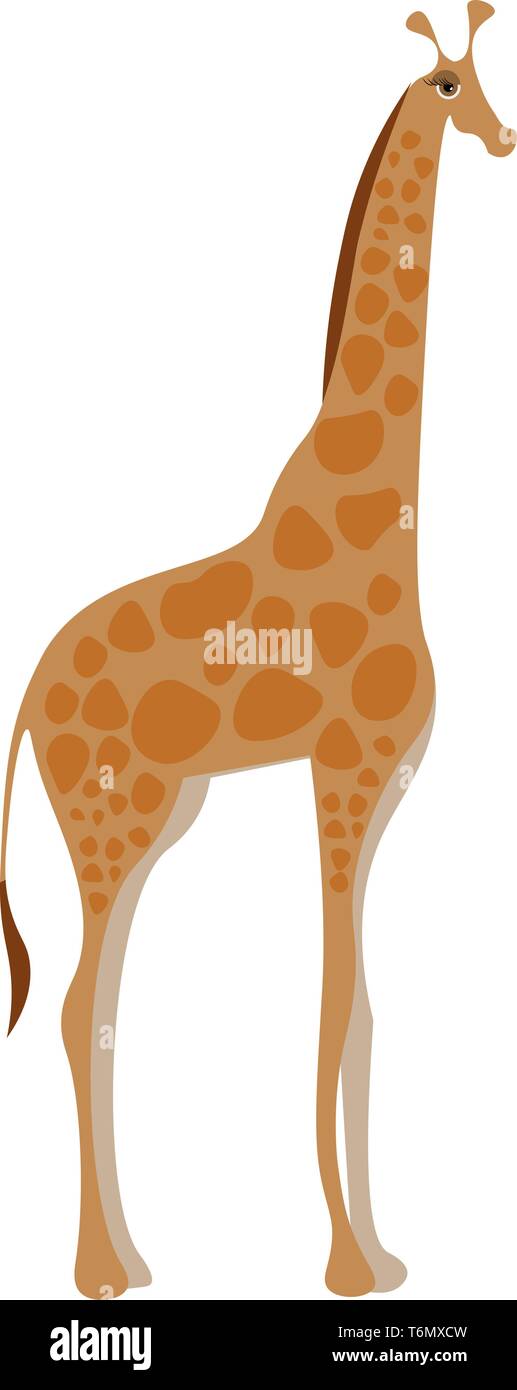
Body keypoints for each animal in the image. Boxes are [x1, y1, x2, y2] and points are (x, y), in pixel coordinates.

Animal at [1, 3, 514, 1301]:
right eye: (450, 82)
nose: (505, 138)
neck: (386, 512)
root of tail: (24, 700)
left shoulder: (379, 780)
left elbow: (364, 1007)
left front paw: (383, 1253)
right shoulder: (344, 767)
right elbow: (338, 1002)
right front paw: (348, 1265)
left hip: (163, 812)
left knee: (97, 998)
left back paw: (133, 1254)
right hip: (114, 815)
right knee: (81, 1002)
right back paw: (104, 1272)